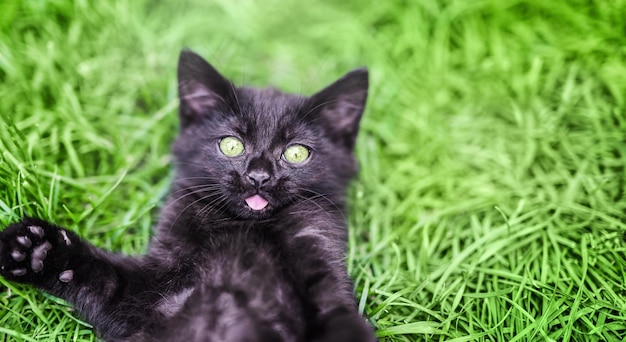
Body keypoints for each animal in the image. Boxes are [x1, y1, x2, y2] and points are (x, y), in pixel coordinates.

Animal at [0, 49, 372, 340]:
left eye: (296, 153)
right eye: (231, 145)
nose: (259, 177)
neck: (244, 230)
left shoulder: (321, 258)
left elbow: (339, 315)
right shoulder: (152, 295)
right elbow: (105, 277)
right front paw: (36, 248)